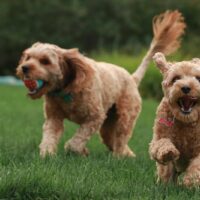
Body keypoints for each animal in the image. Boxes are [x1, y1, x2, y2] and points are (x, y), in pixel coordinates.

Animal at [16, 10, 185, 158]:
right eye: (28, 57)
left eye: (45, 61)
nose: (24, 68)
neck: (67, 90)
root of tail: (132, 78)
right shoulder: (54, 118)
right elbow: (49, 137)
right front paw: (47, 155)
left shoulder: (95, 117)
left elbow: (76, 141)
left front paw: (77, 150)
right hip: (109, 123)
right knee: (113, 139)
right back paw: (128, 155)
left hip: (125, 117)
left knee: (121, 138)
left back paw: (119, 156)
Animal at [149, 52, 200, 187]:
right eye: (175, 79)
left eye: (198, 78)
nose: (186, 87)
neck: (186, 121)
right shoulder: (158, 136)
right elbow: (161, 144)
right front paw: (168, 152)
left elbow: (197, 165)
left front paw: (191, 181)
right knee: (166, 172)